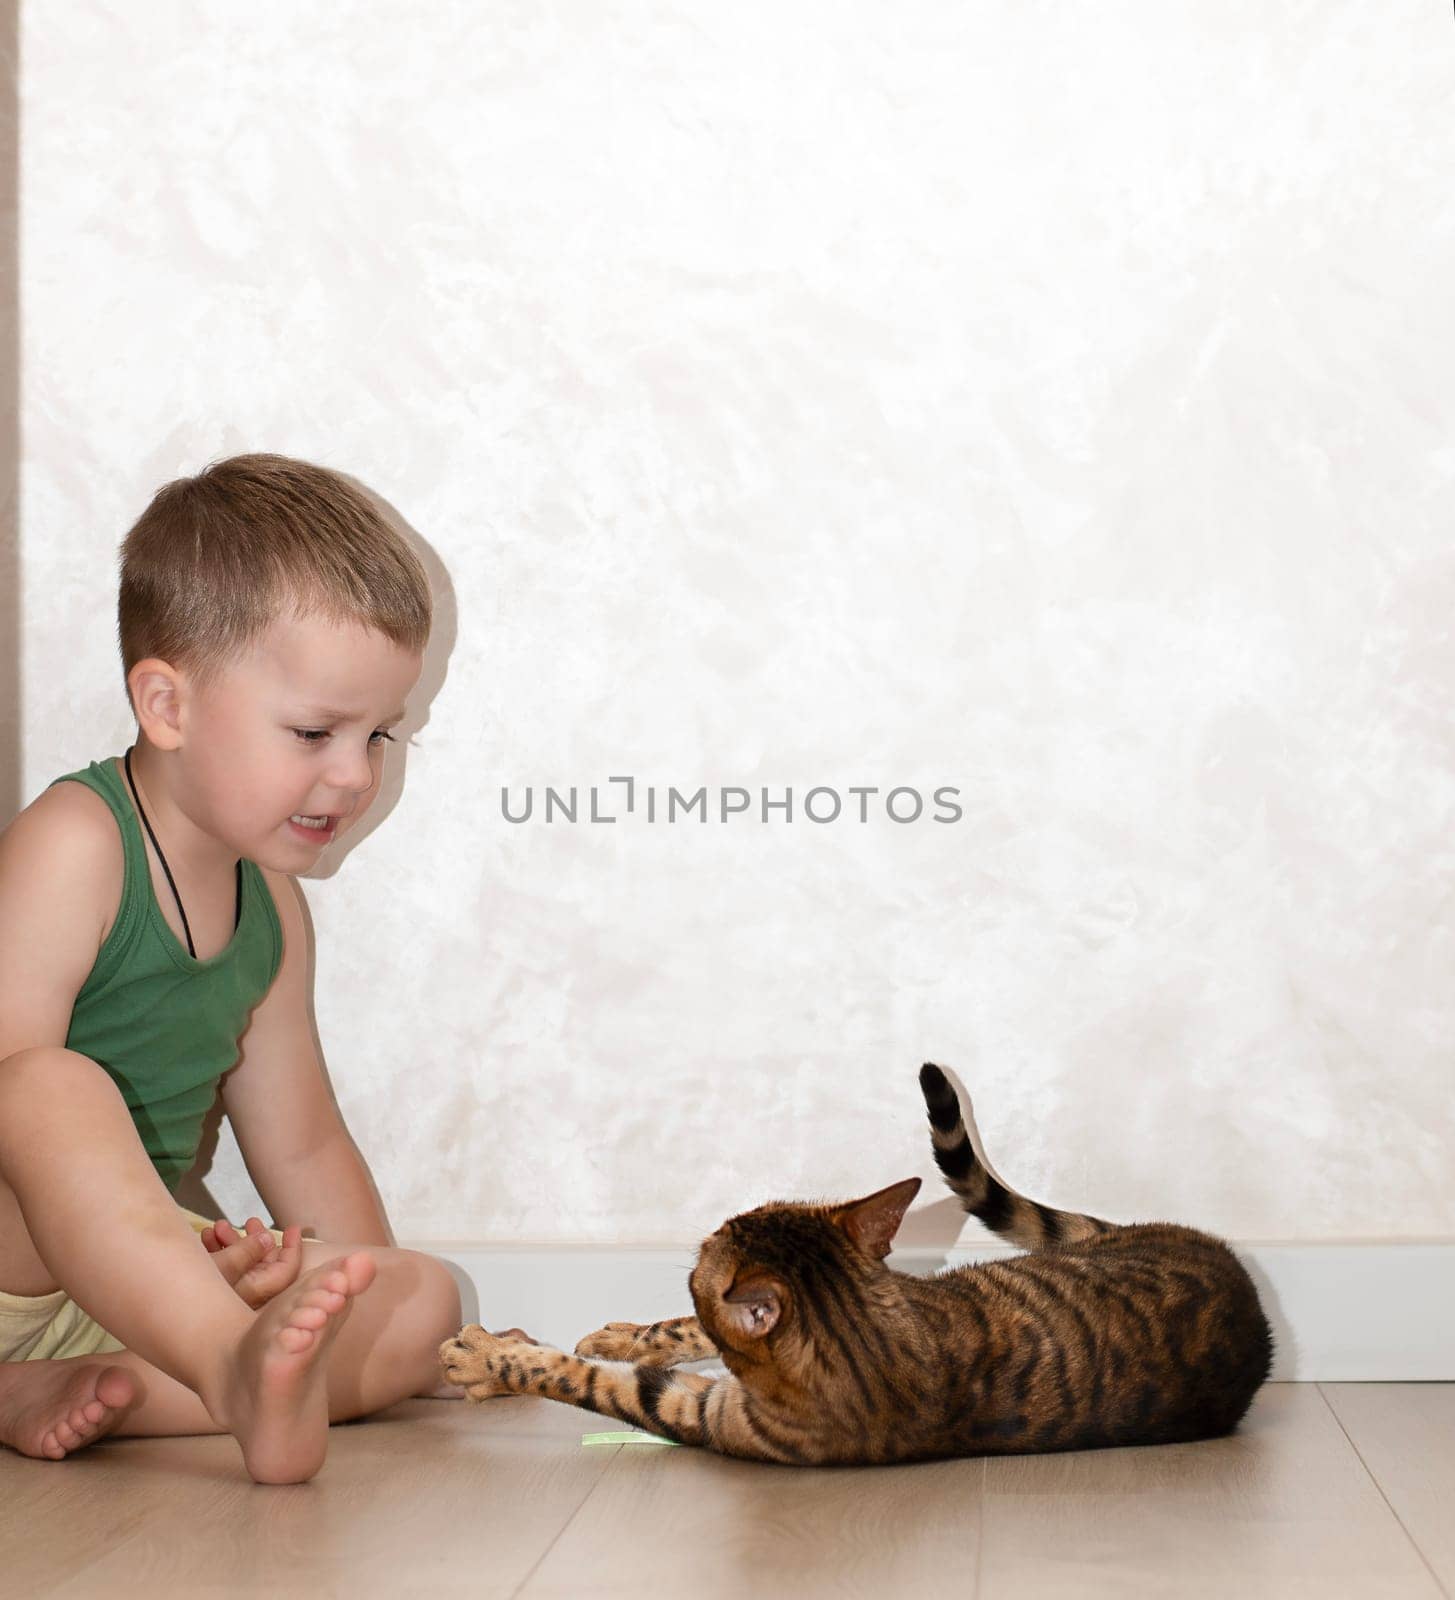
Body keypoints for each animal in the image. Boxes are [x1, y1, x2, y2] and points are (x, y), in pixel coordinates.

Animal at [438, 1062, 1267, 1465]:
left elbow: (580, 1380)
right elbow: (680, 1330)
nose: (703, 1234)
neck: (863, 1332)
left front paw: (482, 1357)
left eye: (706, 1246)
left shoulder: (705, 1416)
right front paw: (608, 1338)